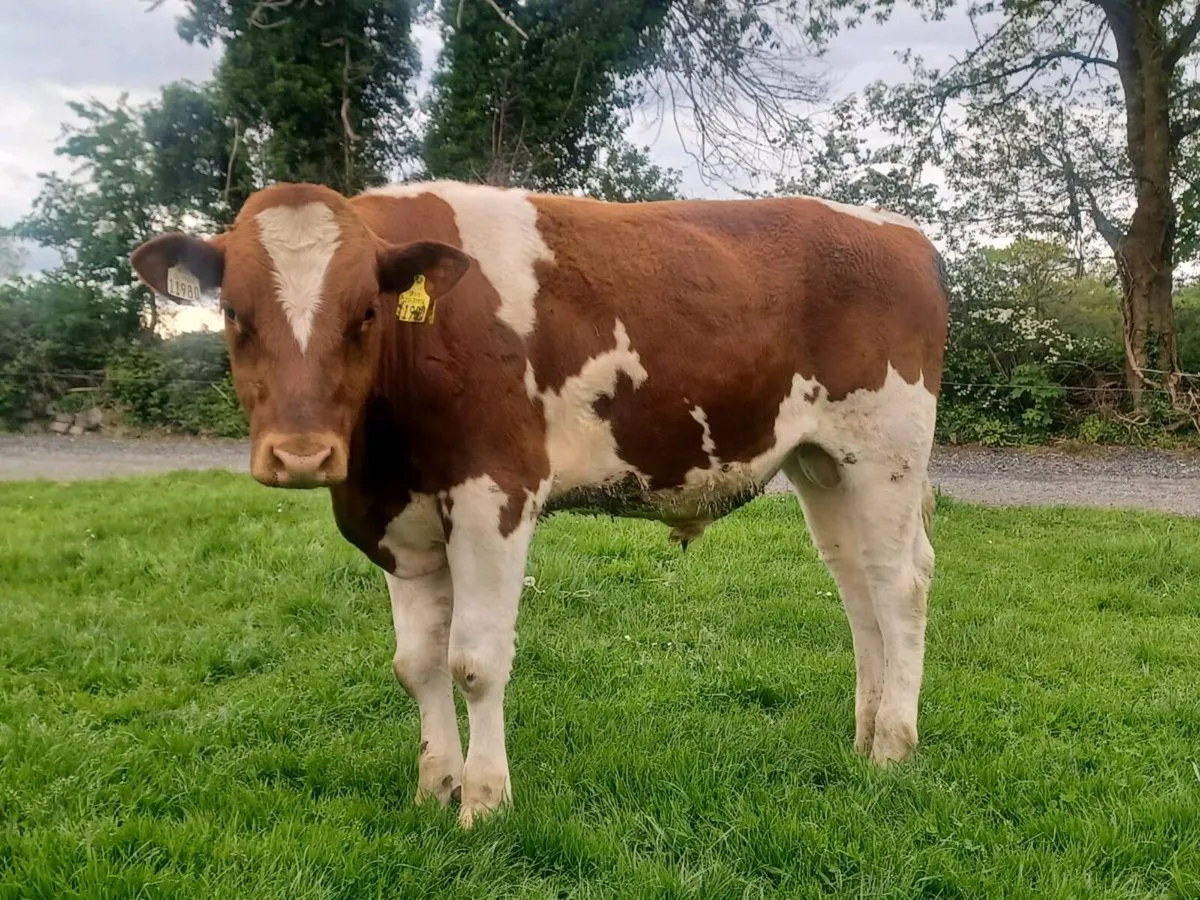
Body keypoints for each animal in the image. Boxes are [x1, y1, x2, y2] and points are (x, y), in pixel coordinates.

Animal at [130, 180, 948, 828]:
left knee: (900, 586)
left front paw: (484, 803)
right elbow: (416, 664)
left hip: (886, 455)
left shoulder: (496, 493)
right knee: (856, 588)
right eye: (234, 314)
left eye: (366, 312)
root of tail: (898, 230)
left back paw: (894, 747)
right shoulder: (402, 522)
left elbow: (475, 662)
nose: (302, 454)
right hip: (822, 466)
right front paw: (435, 787)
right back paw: (865, 734)